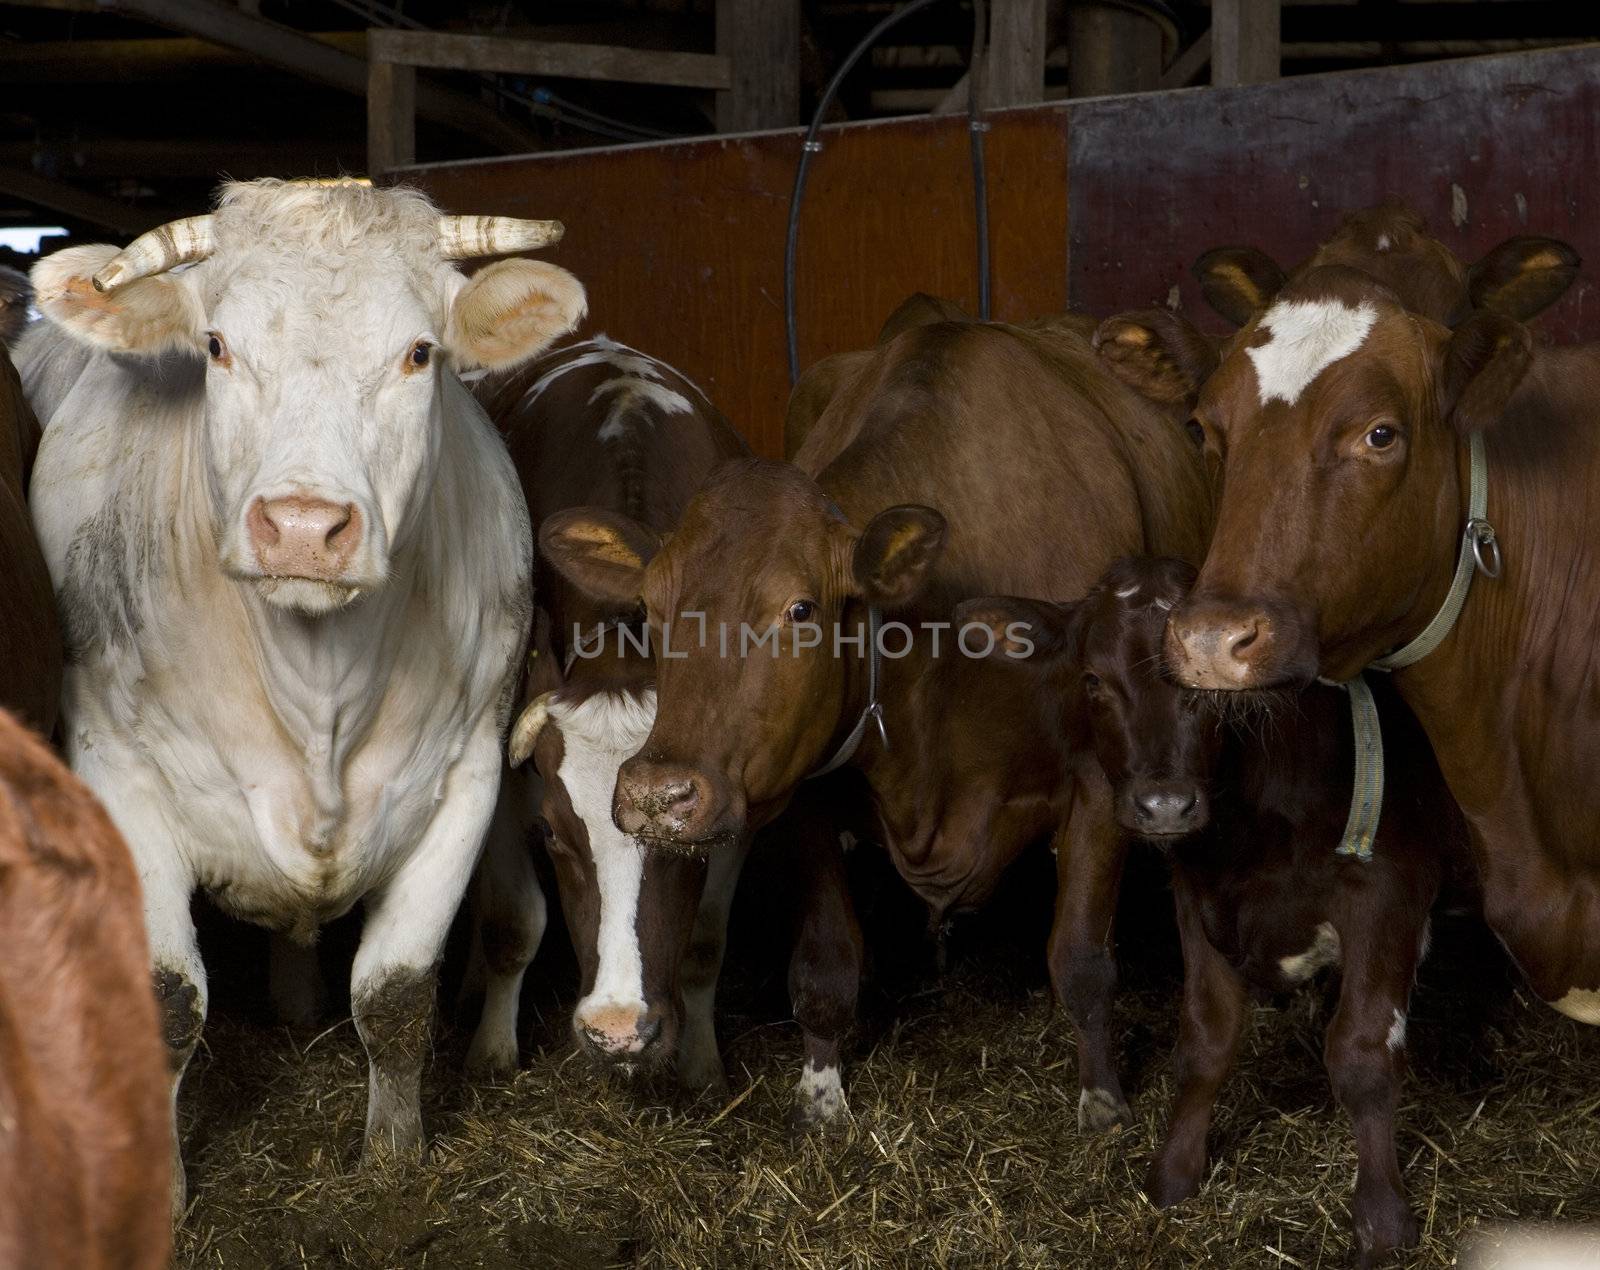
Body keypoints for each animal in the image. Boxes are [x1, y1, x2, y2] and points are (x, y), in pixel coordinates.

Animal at [23, 180, 588, 1209]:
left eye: (420, 353)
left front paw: (394, 1160)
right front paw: (161, 1192)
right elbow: (168, 1000)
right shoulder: (115, 771)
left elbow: (395, 993)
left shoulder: (465, 778)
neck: (318, 685)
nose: (300, 525)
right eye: (216, 346)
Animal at [480, 335, 864, 1119]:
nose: (620, 1030)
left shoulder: (741, 796)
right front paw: (494, 1053)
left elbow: (705, 943)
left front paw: (699, 1064)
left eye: (686, 853)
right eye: (553, 837)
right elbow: (513, 923)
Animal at [540, 307, 1209, 1126]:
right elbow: (825, 964)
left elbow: (1081, 961)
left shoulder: (1102, 781)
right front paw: (822, 1098)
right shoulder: (796, 786)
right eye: (653, 608)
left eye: (800, 609)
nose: (656, 796)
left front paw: (1103, 1102)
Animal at [953, 563, 1465, 1266]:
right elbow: (1204, 1042)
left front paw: (1383, 1222)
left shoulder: (1388, 894)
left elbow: (1362, 1057)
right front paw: (1173, 1174)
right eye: (1093, 680)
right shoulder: (1200, 899)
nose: (1165, 805)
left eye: (1205, 684)